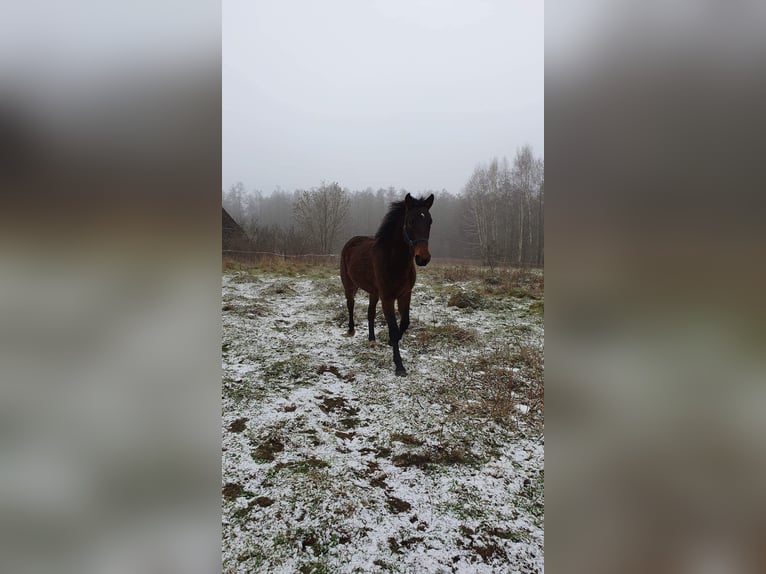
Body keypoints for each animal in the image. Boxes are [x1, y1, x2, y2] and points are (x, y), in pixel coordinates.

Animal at [344, 194, 438, 378]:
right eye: (410, 221)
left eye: (430, 221)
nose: (423, 258)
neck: (394, 261)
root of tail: (352, 241)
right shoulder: (387, 298)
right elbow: (394, 329)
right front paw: (399, 366)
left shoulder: (405, 295)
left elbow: (405, 323)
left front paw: (389, 342)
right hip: (349, 284)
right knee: (350, 304)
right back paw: (351, 330)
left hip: (373, 292)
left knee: (370, 313)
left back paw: (372, 340)